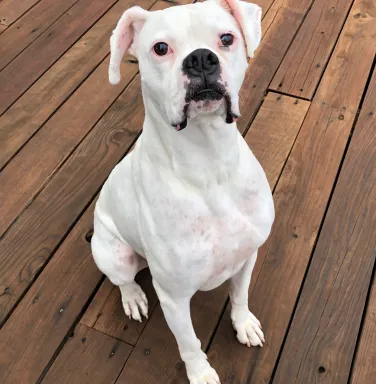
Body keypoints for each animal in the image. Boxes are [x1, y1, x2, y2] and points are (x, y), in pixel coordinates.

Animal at [91, 1, 274, 382]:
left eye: (226, 38)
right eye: (161, 48)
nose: (201, 59)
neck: (209, 165)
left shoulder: (248, 255)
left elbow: (240, 296)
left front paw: (243, 323)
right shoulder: (174, 298)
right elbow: (189, 343)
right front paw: (201, 373)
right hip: (113, 253)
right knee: (122, 280)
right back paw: (133, 297)